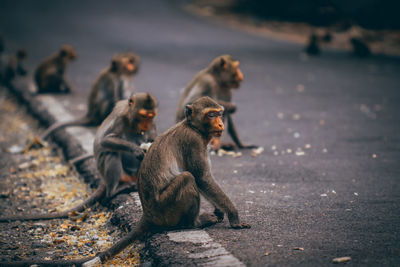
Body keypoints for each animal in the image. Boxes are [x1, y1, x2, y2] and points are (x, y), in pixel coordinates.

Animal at [0, 93, 159, 223]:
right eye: (143, 115)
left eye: (150, 116)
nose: (146, 124)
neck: (132, 120)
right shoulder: (120, 118)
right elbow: (105, 140)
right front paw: (136, 149)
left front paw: (148, 145)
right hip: (112, 171)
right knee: (111, 154)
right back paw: (114, 191)